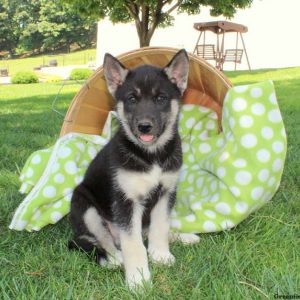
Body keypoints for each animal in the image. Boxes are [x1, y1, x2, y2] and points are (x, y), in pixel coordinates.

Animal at [69, 49, 189, 288]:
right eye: (132, 99)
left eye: (161, 98)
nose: (144, 127)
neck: (152, 155)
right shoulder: (126, 201)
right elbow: (133, 244)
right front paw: (138, 279)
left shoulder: (166, 193)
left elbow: (161, 227)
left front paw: (160, 255)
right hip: (86, 209)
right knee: (104, 241)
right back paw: (117, 259)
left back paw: (184, 236)